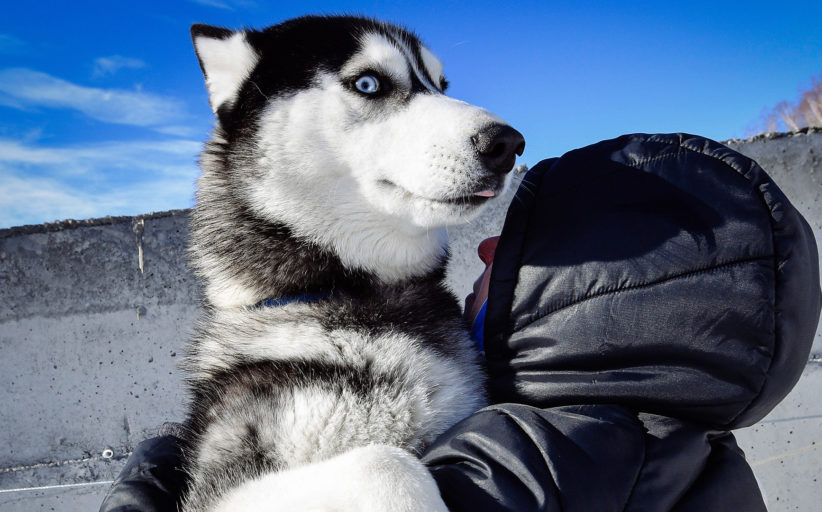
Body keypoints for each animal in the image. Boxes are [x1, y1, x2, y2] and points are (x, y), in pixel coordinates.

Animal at [183, 16, 524, 512]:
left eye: (441, 85)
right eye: (369, 83)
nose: (508, 143)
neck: (355, 294)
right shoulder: (221, 485)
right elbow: (385, 462)